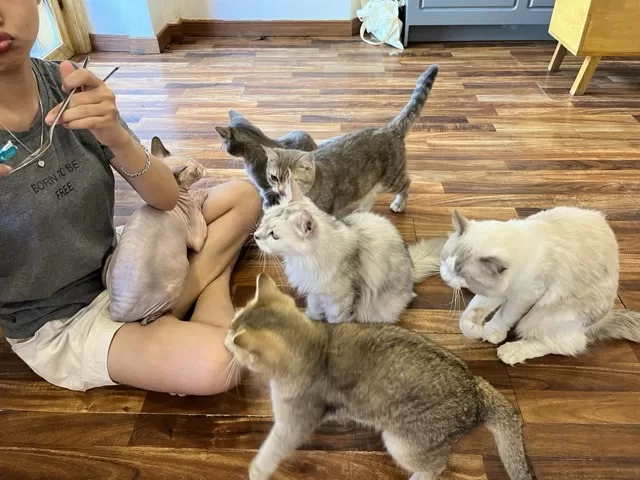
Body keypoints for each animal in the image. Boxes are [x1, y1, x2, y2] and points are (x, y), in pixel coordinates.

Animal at [225, 274, 536, 480]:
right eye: (230, 324)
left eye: (233, 337)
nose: (225, 339)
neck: (316, 345)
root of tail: (475, 387)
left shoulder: (293, 422)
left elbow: (273, 447)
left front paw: (256, 469)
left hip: (402, 444)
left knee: (437, 466)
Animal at [262, 64, 440, 215]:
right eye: (274, 178)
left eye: (293, 180)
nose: (281, 190)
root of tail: (389, 129)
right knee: (371, 196)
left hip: (392, 179)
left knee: (406, 183)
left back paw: (399, 203)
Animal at [440, 204, 640, 366]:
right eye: (444, 260)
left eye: (462, 274)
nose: (446, 278)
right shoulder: (498, 290)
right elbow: (475, 309)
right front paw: (473, 325)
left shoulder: (525, 296)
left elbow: (506, 315)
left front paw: (491, 332)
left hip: (546, 317)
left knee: (567, 344)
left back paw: (510, 351)